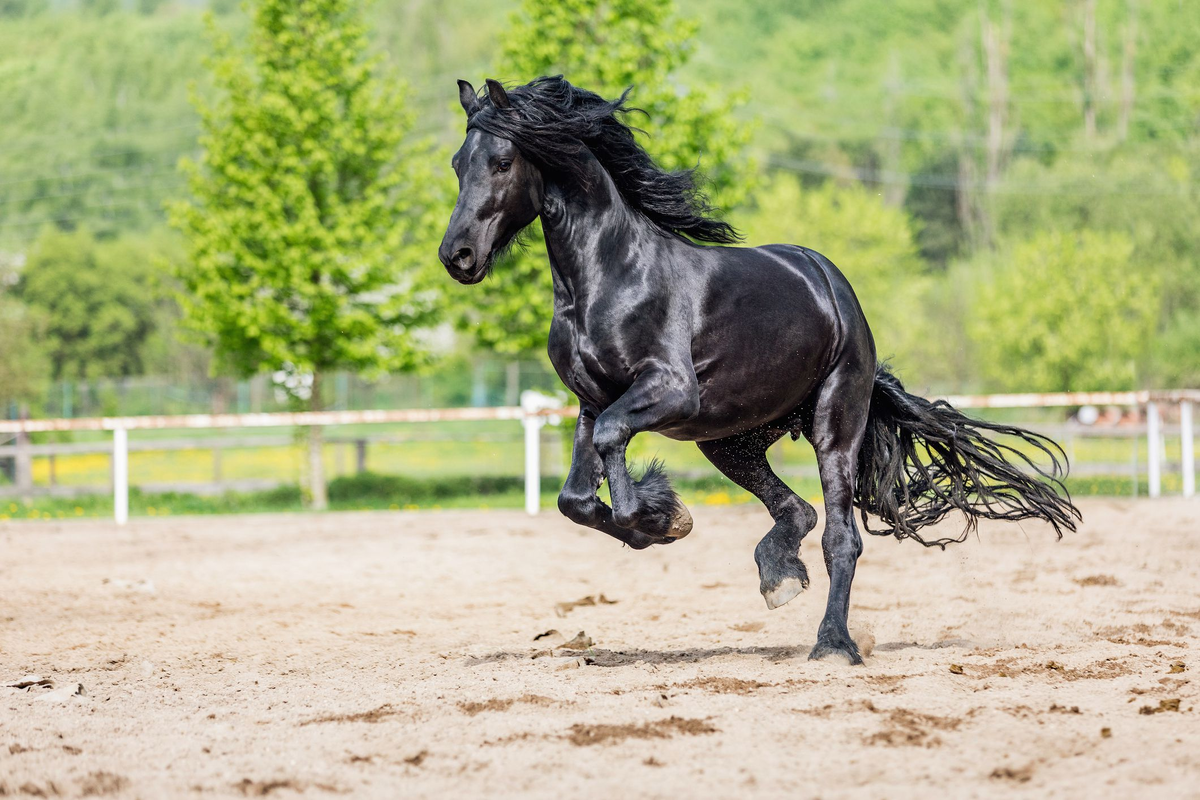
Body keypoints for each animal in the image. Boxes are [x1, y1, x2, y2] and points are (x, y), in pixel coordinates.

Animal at [438, 76, 1081, 665]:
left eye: (502, 162)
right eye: (457, 164)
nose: (457, 256)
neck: (609, 275)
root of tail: (832, 286)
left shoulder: (670, 392)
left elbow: (614, 453)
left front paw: (661, 518)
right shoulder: (591, 402)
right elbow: (575, 496)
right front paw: (661, 519)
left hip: (832, 423)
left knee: (841, 537)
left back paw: (834, 643)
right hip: (730, 441)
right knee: (796, 510)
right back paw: (780, 577)